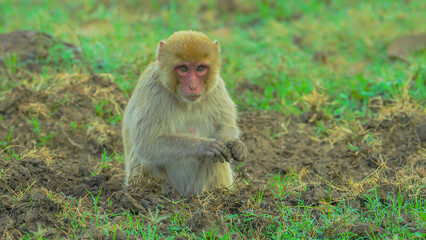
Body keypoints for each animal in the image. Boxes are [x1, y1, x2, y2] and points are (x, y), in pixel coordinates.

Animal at [121, 30, 246, 195]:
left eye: (200, 68)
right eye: (183, 69)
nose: (193, 86)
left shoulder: (217, 87)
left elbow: (225, 127)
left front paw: (234, 144)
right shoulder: (152, 90)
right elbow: (148, 143)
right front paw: (206, 146)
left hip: (195, 187)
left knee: (216, 160)